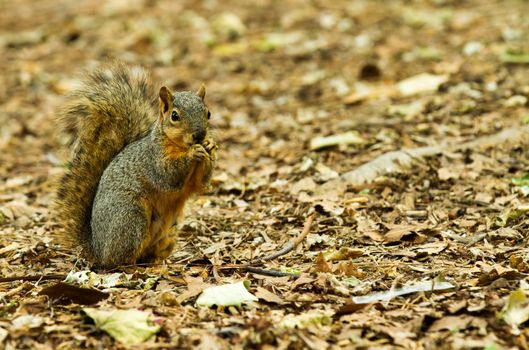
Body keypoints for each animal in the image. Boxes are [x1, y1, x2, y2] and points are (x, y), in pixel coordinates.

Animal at [54, 63, 217, 268]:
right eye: (174, 116)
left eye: (208, 113)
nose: (200, 135)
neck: (179, 145)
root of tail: (97, 249)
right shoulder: (152, 159)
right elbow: (168, 176)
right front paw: (194, 152)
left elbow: (201, 185)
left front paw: (211, 147)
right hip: (131, 217)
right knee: (119, 260)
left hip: (169, 234)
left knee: (147, 255)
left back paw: (158, 264)